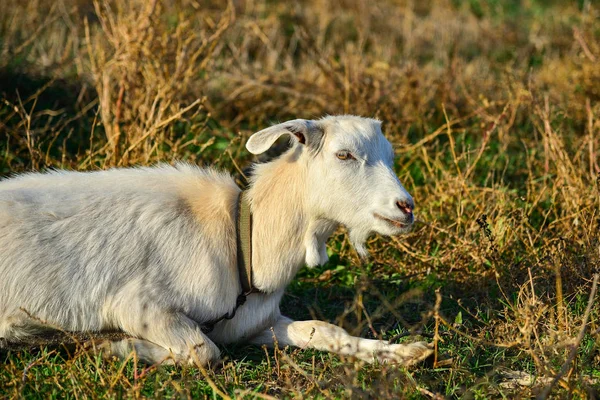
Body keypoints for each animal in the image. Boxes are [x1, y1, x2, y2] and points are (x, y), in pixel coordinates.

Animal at [0, 115, 432, 366]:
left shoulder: (250, 323)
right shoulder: (139, 305)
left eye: (390, 155)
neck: (244, 238)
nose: (406, 207)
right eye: (344, 155)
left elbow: (324, 330)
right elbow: (203, 350)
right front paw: (111, 346)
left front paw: (406, 352)